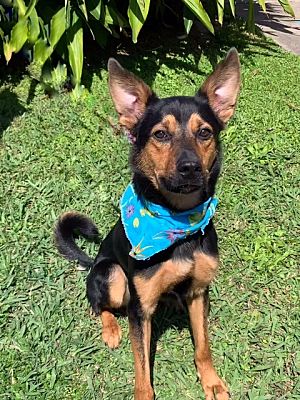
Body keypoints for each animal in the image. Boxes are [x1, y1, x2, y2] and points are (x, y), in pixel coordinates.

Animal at [54, 50, 241, 400]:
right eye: (161, 135)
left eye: (205, 133)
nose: (190, 168)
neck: (177, 222)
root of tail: (92, 261)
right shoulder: (139, 310)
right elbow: (141, 367)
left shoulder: (199, 291)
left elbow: (203, 346)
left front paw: (211, 381)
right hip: (113, 275)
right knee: (100, 305)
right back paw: (111, 330)